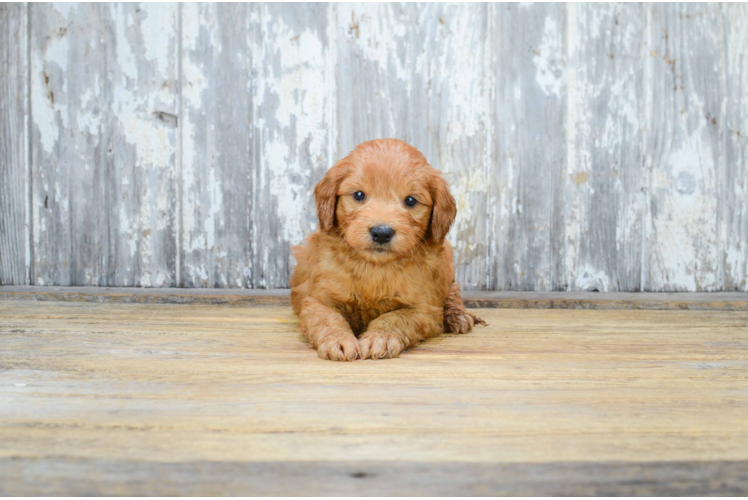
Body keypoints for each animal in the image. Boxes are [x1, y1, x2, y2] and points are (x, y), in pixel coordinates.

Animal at [290, 139, 488, 362]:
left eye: (410, 200)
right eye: (359, 195)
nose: (381, 233)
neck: (374, 267)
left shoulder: (424, 309)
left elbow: (395, 317)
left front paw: (380, 338)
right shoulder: (317, 300)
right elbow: (328, 318)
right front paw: (337, 340)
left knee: (453, 290)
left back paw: (457, 315)